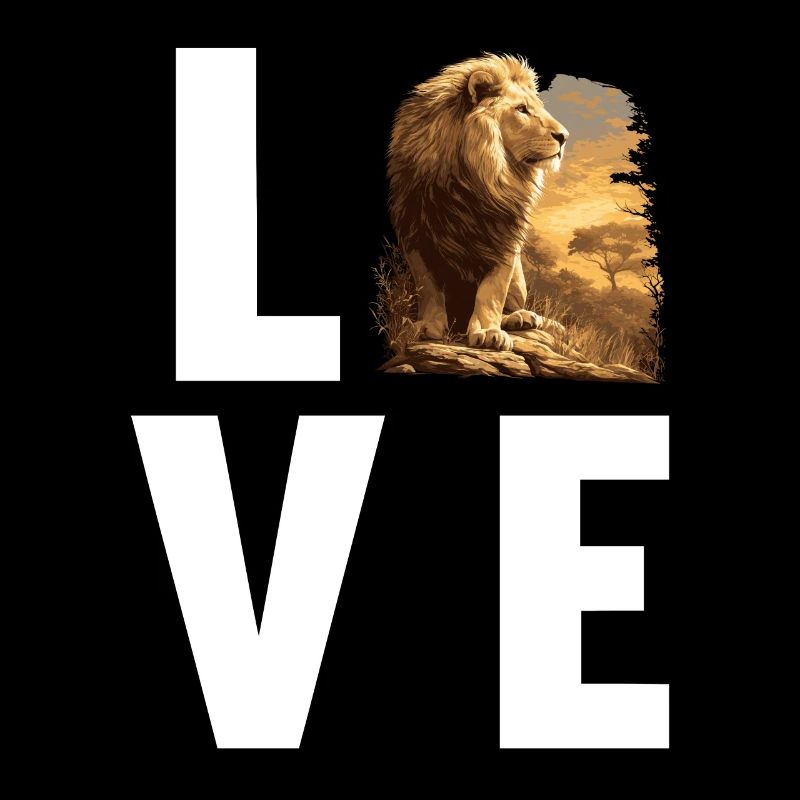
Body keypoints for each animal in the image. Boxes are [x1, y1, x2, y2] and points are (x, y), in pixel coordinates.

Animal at [388, 54, 568, 351]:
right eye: (521, 109)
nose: (564, 136)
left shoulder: (505, 236)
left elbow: (492, 291)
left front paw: (487, 332)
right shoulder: (414, 232)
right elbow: (428, 286)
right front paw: (427, 326)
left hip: (520, 282)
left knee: (511, 304)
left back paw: (520, 318)